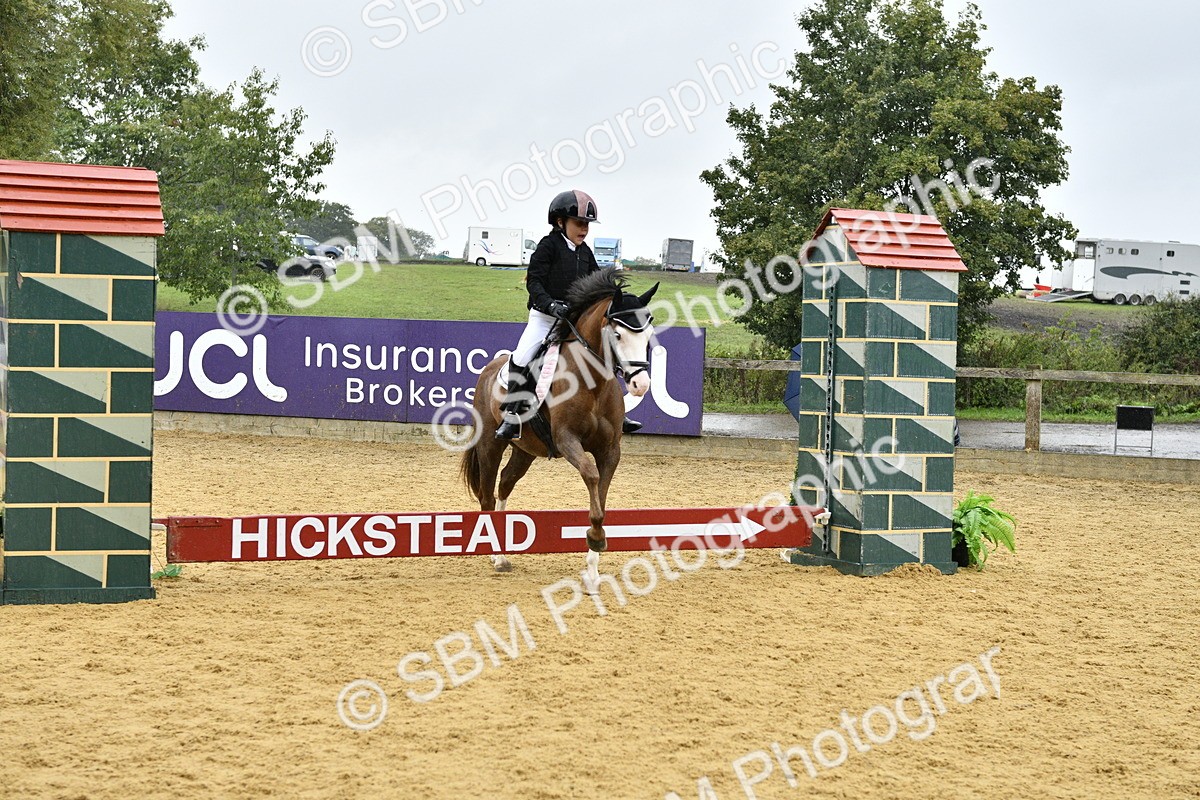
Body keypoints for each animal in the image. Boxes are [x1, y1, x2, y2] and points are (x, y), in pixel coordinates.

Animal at [460, 269, 659, 577]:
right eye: (617, 334)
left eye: (649, 334)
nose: (641, 385)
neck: (593, 384)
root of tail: (490, 369)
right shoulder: (567, 440)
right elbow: (591, 475)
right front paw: (596, 538)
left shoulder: (610, 450)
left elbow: (601, 494)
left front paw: (593, 564)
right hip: (489, 444)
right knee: (488, 497)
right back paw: (497, 556)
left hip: (525, 450)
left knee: (505, 483)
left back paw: (503, 550)